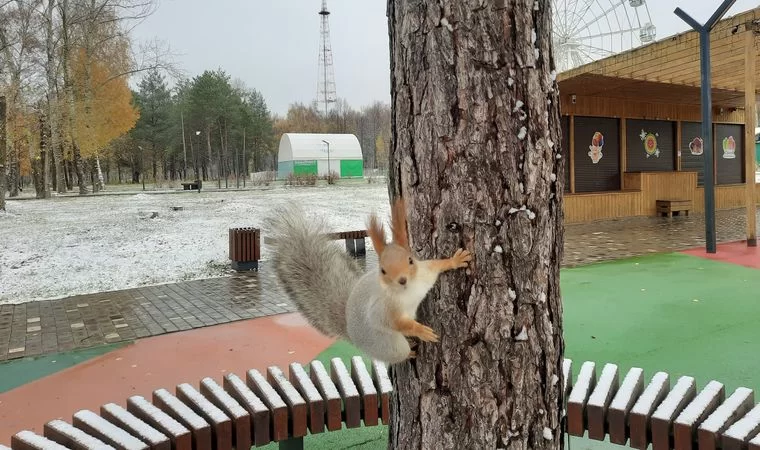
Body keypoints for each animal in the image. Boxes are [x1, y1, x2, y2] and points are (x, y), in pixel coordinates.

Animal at [264, 199, 472, 364]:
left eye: (410, 260)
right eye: (383, 270)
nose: (402, 280)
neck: (409, 291)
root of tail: (351, 333)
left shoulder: (425, 273)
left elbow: (439, 265)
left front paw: (456, 260)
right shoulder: (383, 308)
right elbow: (394, 323)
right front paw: (421, 331)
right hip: (388, 345)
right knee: (399, 351)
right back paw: (409, 353)